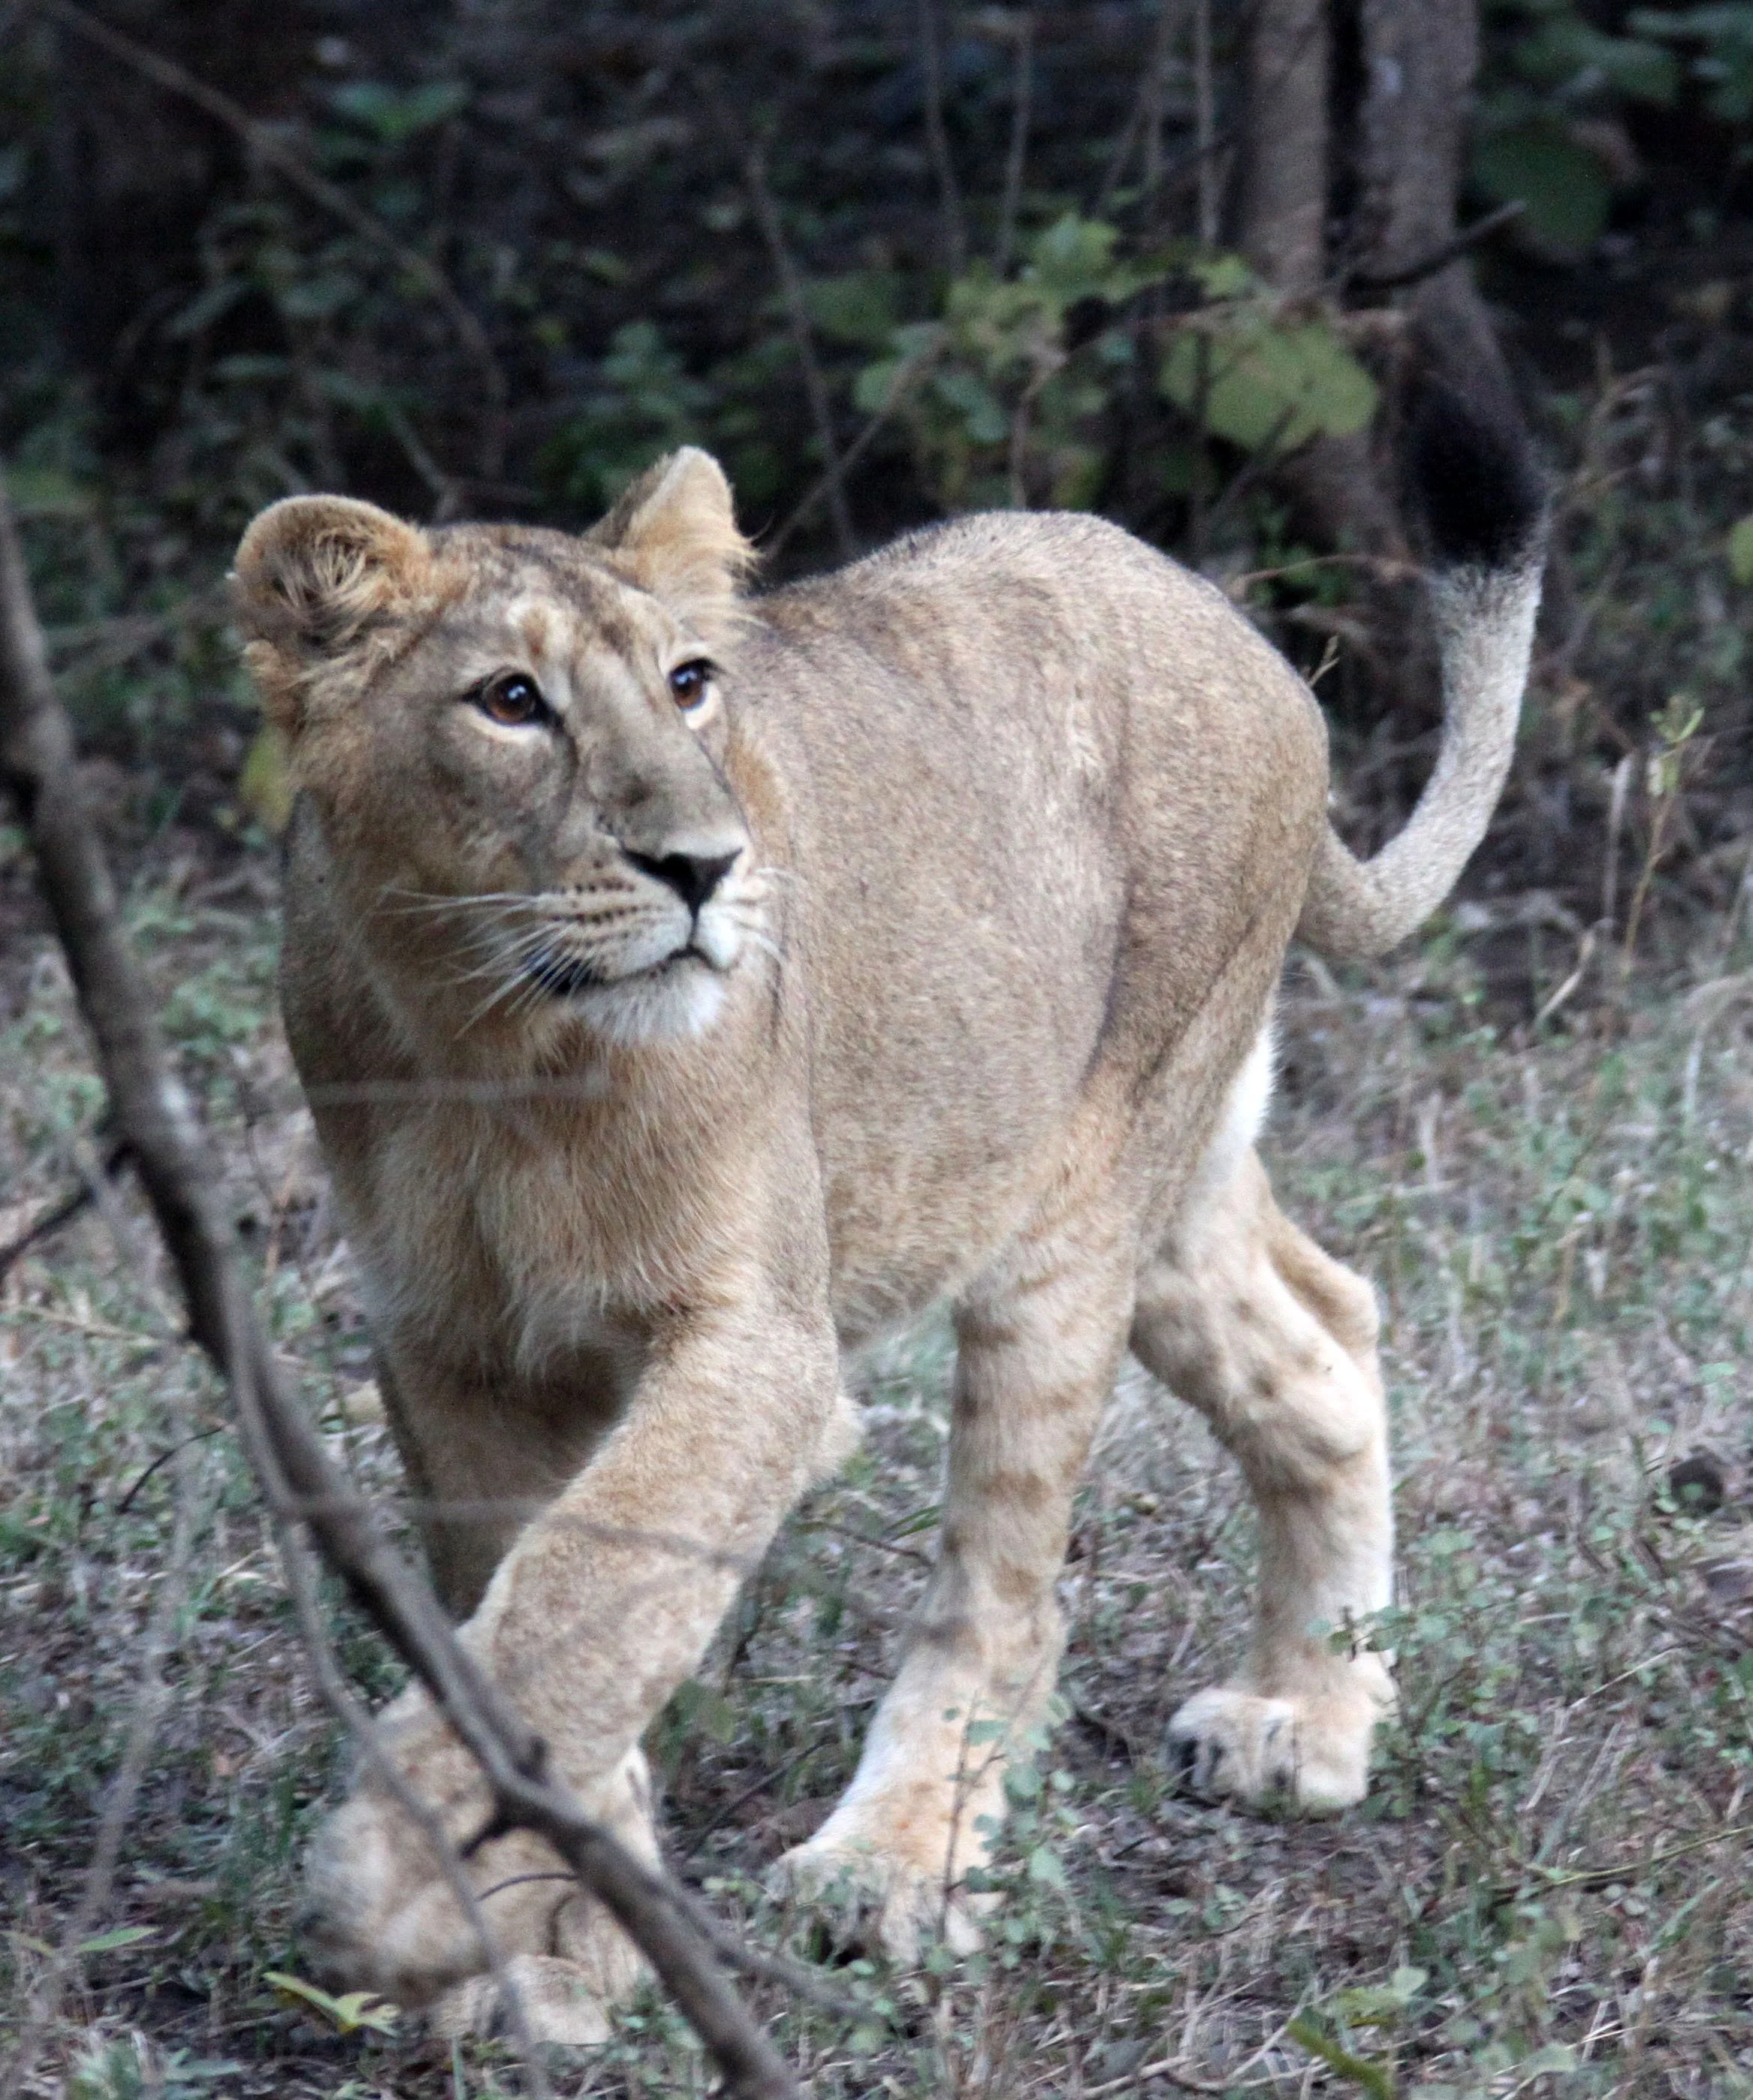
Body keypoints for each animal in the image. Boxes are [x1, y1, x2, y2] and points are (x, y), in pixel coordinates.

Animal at [232, 384, 1543, 2044]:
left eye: (690, 683)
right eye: (509, 701)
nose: (703, 866)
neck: (490, 1044)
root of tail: (1240, 640)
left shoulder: (762, 1344)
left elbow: (583, 1599)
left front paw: (397, 1888)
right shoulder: (447, 1350)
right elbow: (528, 1612)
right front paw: (554, 1931)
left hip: (1070, 1221)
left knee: (1011, 1596)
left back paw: (890, 1869)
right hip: (1154, 1181)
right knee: (1320, 1340)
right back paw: (1309, 1722)